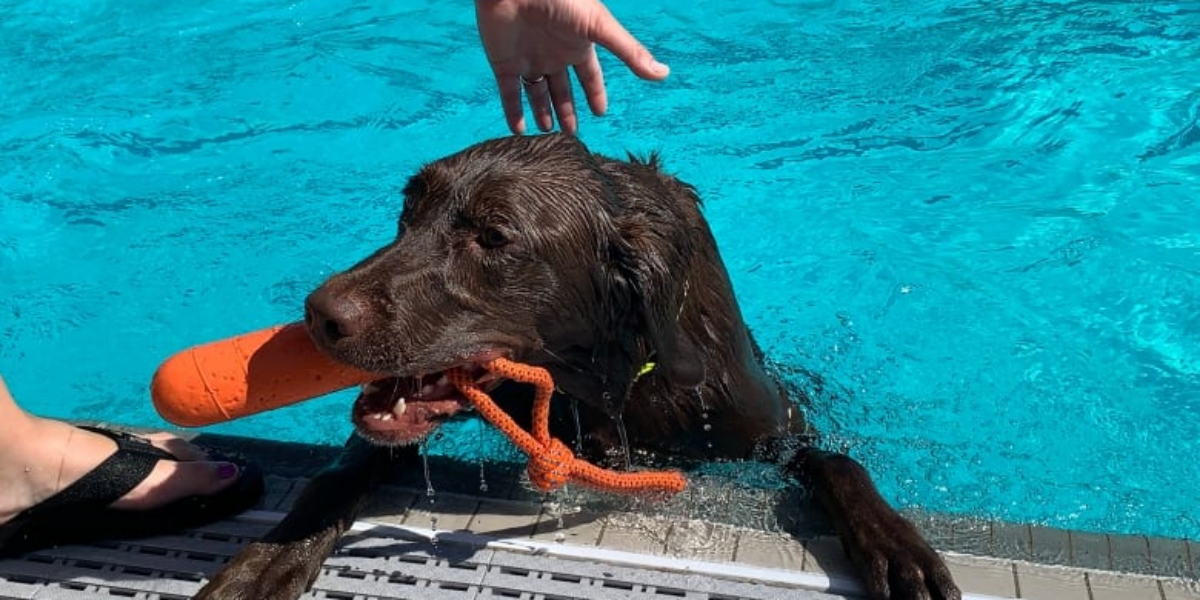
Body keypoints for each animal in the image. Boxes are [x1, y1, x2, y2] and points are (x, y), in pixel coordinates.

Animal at [199, 135, 964, 600]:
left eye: (493, 236)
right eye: (408, 208)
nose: (317, 314)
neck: (609, 383)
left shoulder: (773, 425)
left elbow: (837, 462)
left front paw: (897, 546)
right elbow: (340, 470)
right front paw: (272, 555)